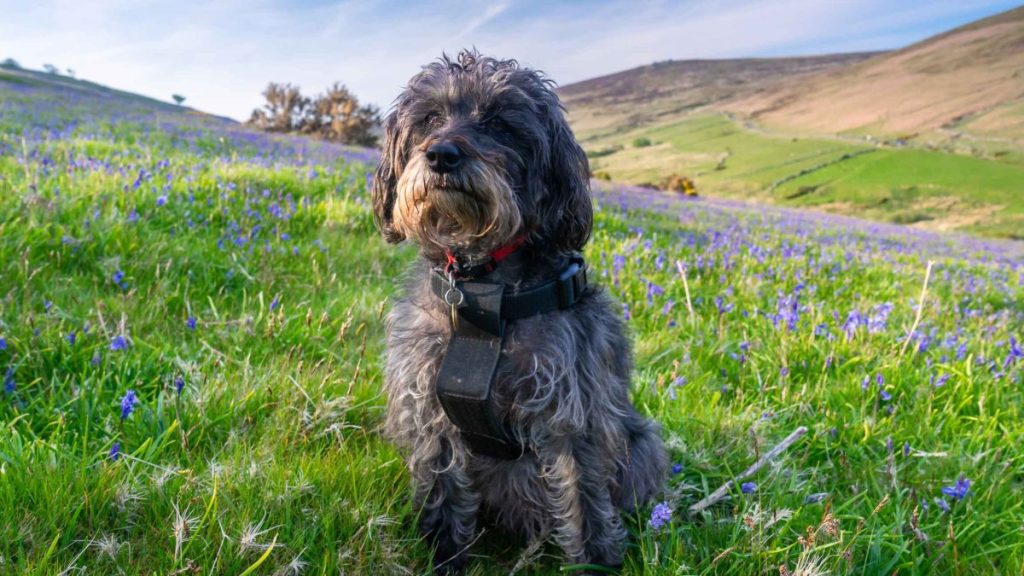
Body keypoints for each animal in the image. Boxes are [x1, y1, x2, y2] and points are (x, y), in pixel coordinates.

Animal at [372, 51, 667, 569]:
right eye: (429, 119)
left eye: (500, 124)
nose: (441, 154)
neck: (482, 289)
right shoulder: (430, 412)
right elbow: (443, 493)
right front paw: (444, 558)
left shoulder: (572, 414)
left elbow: (584, 503)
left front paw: (594, 565)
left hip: (644, 444)